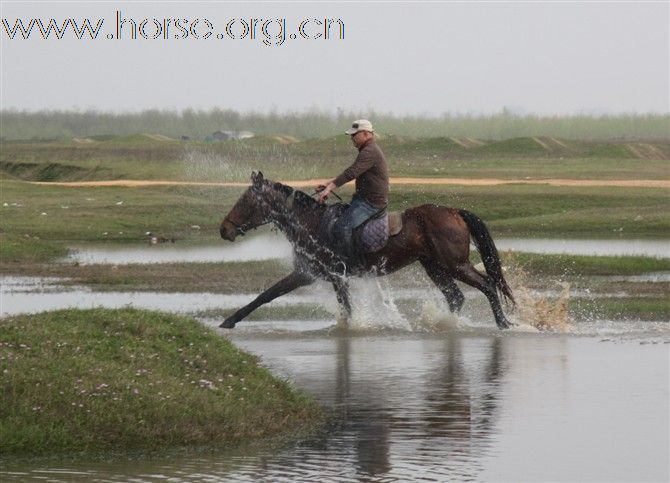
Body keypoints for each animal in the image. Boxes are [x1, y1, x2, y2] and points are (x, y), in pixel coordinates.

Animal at [220, 172, 516, 330]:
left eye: (245, 201)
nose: (224, 230)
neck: (310, 224)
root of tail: (454, 212)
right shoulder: (328, 277)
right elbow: (344, 307)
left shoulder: (310, 274)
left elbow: (266, 295)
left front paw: (229, 320)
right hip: (434, 266)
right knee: (455, 296)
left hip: (455, 264)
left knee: (487, 285)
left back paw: (503, 324)